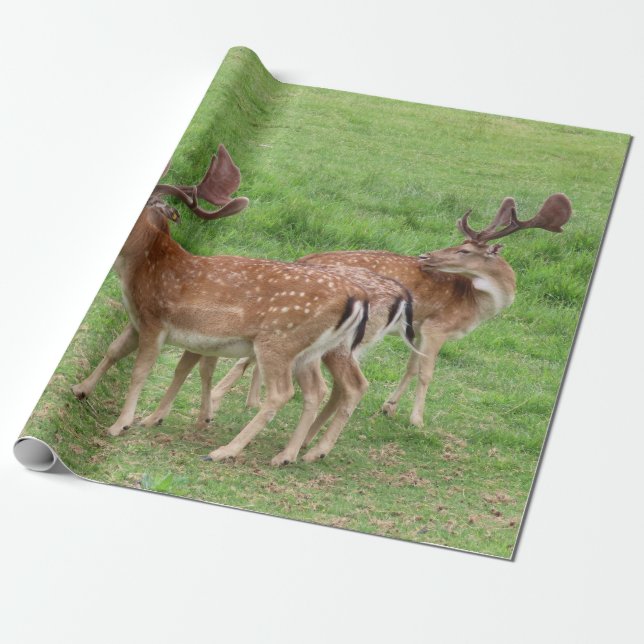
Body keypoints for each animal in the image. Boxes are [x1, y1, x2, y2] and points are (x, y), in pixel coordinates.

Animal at [72, 145, 376, 463]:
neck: (139, 268)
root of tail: (357, 296)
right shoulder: (137, 320)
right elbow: (114, 350)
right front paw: (80, 389)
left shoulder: (156, 320)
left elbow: (139, 372)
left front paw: (119, 425)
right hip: (309, 351)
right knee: (317, 391)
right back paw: (287, 455)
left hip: (279, 341)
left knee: (283, 393)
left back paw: (226, 451)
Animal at [214, 193, 572, 428]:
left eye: (464, 250)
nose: (426, 256)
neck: (475, 305)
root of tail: (304, 259)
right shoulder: (437, 326)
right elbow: (426, 372)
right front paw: (416, 419)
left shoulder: (421, 328)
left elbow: (411, 367)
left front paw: (389, 408)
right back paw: (227, 398)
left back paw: (249, 400)